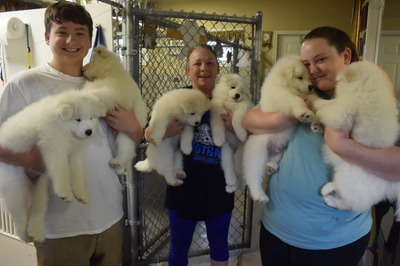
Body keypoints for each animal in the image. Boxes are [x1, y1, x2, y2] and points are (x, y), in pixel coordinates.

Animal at [0, 90, 106, 242]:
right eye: (77, 119)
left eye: (91, 118)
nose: (89, 132)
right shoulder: (55, 146)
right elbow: (62, 170)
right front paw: (66, 192)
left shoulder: (76, 154)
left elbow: (77, 174)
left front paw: (80, 194)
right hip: (15, 184)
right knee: (19, 213)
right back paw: (23, 234)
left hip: (40, 183)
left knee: (37, 208)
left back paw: (36, 232)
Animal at [82, 45, 148, 175]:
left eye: (92, 60)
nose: (82, 69)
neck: (110, 72)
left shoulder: (111, 92)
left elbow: (95, 93)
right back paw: (119, 167)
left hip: (125, 134)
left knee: (126, 152)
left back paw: (117, 162)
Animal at [242, 55, 318, 203]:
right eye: (300, 77)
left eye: (309, 77)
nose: (311, 87)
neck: (284, 85)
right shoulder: (283, 97)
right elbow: (298, 101)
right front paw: (305, 113)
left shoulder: (310, 98)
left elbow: (317, 106)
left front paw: (316, 123)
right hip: (257, 153)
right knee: (253, 177)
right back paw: (260, 195)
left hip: (281, 150)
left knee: (274, 160)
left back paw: (270, 167)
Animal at [318, 60, 400, 218]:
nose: (335, 87)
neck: (367, 86)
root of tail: (387, 185)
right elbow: (329, 103)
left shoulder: (343, 110)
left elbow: (327, 106)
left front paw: (314, 101)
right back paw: (328, 190)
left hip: (349, 177)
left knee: (350, 203)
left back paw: (329, 196)